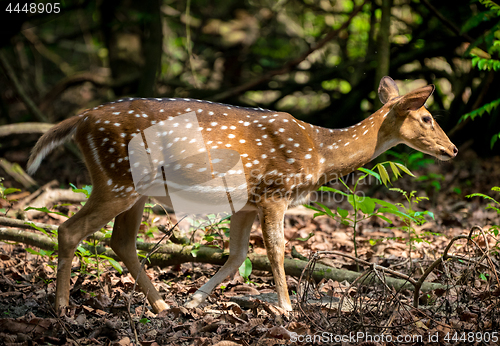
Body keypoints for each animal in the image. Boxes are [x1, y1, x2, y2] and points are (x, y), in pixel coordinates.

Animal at [27, 76, 458, 314]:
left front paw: (194, 301)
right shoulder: (274, 190)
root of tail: (81, 121)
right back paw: (62, 307)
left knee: (121, 241)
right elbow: (277, 249)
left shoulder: (246, 202)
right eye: (427, 118)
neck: (318, 151)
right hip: (117, 180)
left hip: (134, 189)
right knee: (69, 230)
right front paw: (287, 309)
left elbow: (237, 256)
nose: (452, 150)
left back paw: (162, 305)